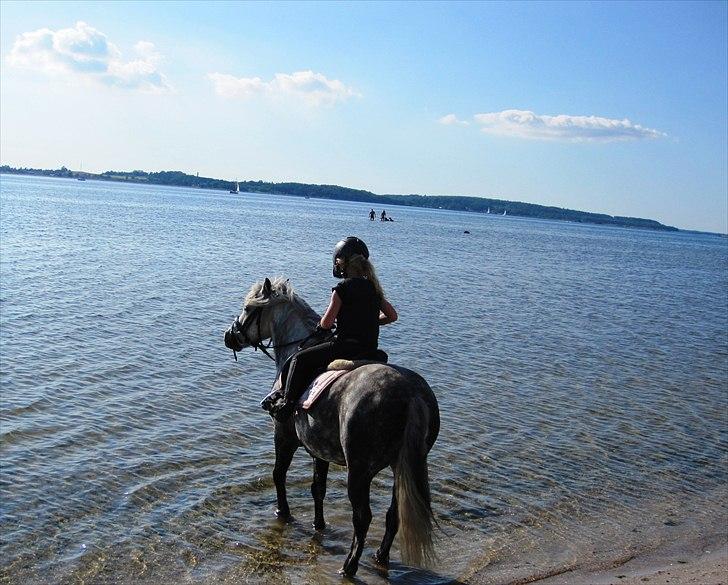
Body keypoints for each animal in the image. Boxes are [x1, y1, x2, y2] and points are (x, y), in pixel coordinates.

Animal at [223, 278, 438, 576]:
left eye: (247, 308)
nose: (229, 336)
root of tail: (411, 394)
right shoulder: (319, 449)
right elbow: (318, 488)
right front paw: (319, 524)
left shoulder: (284, 437)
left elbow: (278, 474)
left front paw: (283, 512)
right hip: (401, 466)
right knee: (393, 515)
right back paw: (379, 556)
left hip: (359, 470)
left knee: (363, 517)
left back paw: (349, 566)